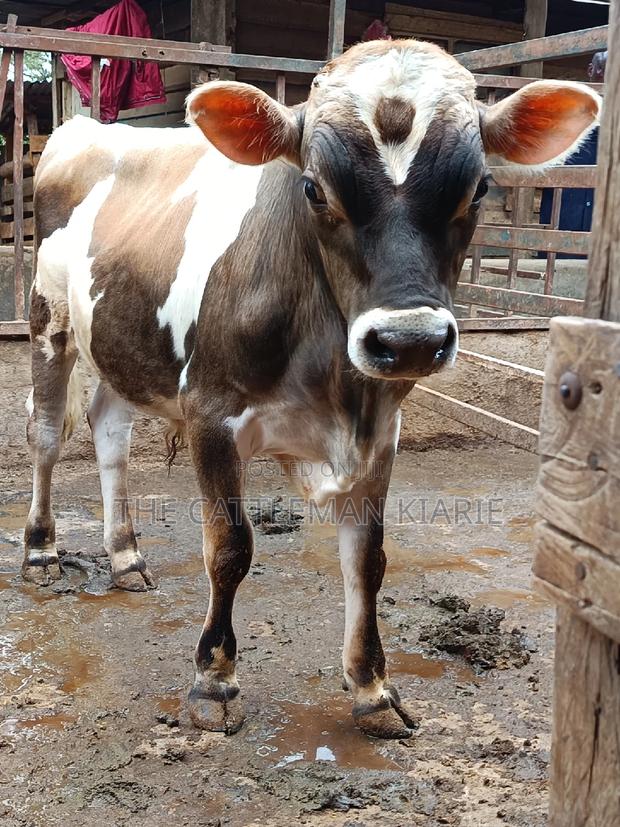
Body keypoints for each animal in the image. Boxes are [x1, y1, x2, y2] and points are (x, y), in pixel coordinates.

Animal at [23, 39, 600, 739]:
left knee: (109, 432)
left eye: (480, 186)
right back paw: (41, 551)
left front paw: (372, 688)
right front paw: (213, 681)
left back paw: (126, 557)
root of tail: (84, 130)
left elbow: (368, 559)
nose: (409, 340)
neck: (336, 387)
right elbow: (230, 548)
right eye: (314, 188)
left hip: (121, 342)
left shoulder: (381, 433)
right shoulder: (209, 415)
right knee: (47, 436)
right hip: (48, 319)